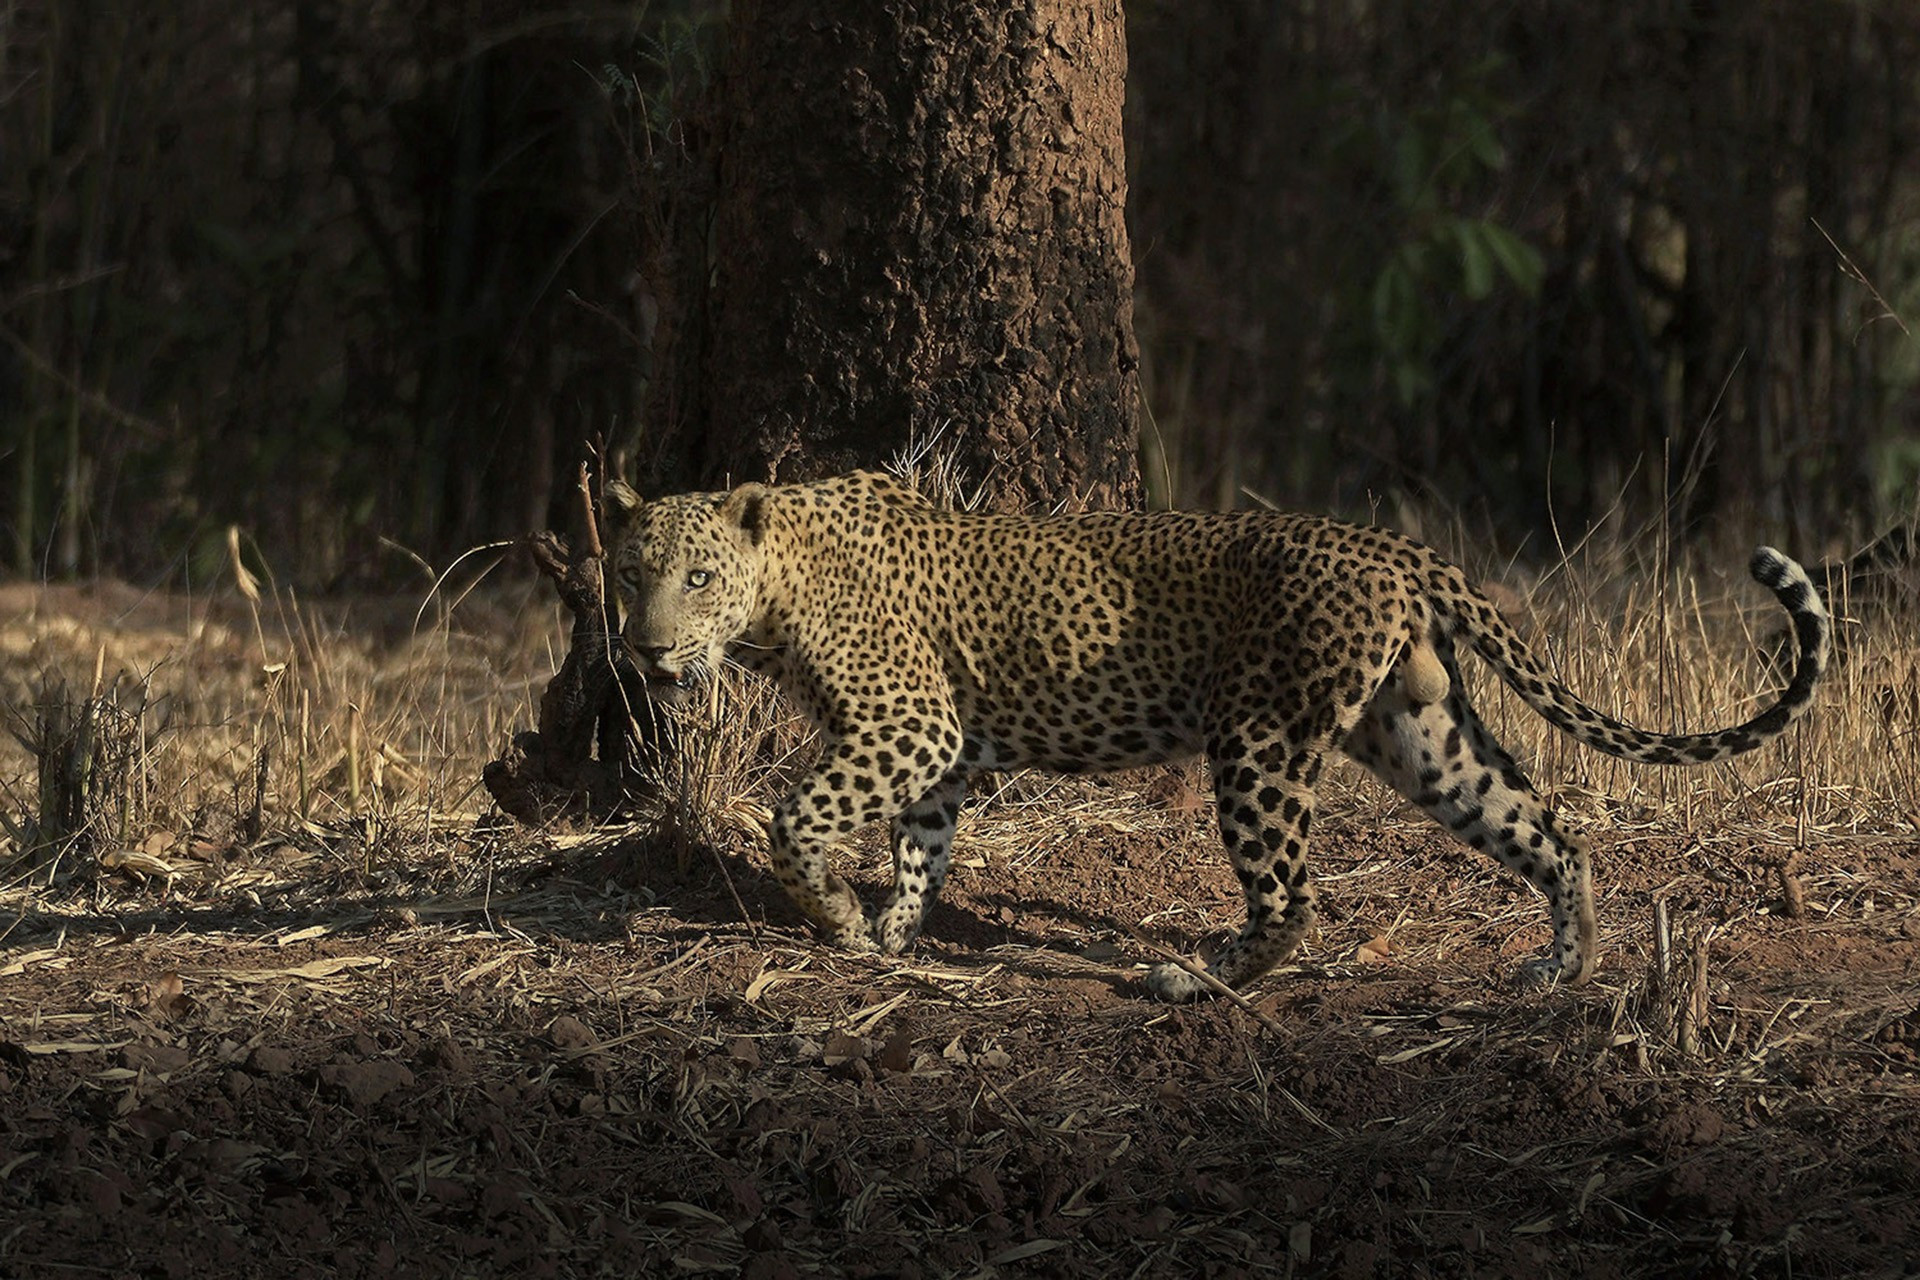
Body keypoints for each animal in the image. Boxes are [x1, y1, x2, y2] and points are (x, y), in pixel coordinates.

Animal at [606, 470, 1830, 1001]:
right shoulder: (935, 746)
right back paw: (1563, 967)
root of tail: (1398, 549)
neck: (775, 592)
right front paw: (896, 930)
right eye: (629, 575)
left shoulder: (910, 718)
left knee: (1294, 894)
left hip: (1258, 740)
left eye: (698, 577)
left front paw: (836, 916)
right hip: (1419, 731)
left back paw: (1192, 977)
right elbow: (922, 841)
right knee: (1551, 830)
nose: (647, 652)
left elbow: (796, 813)